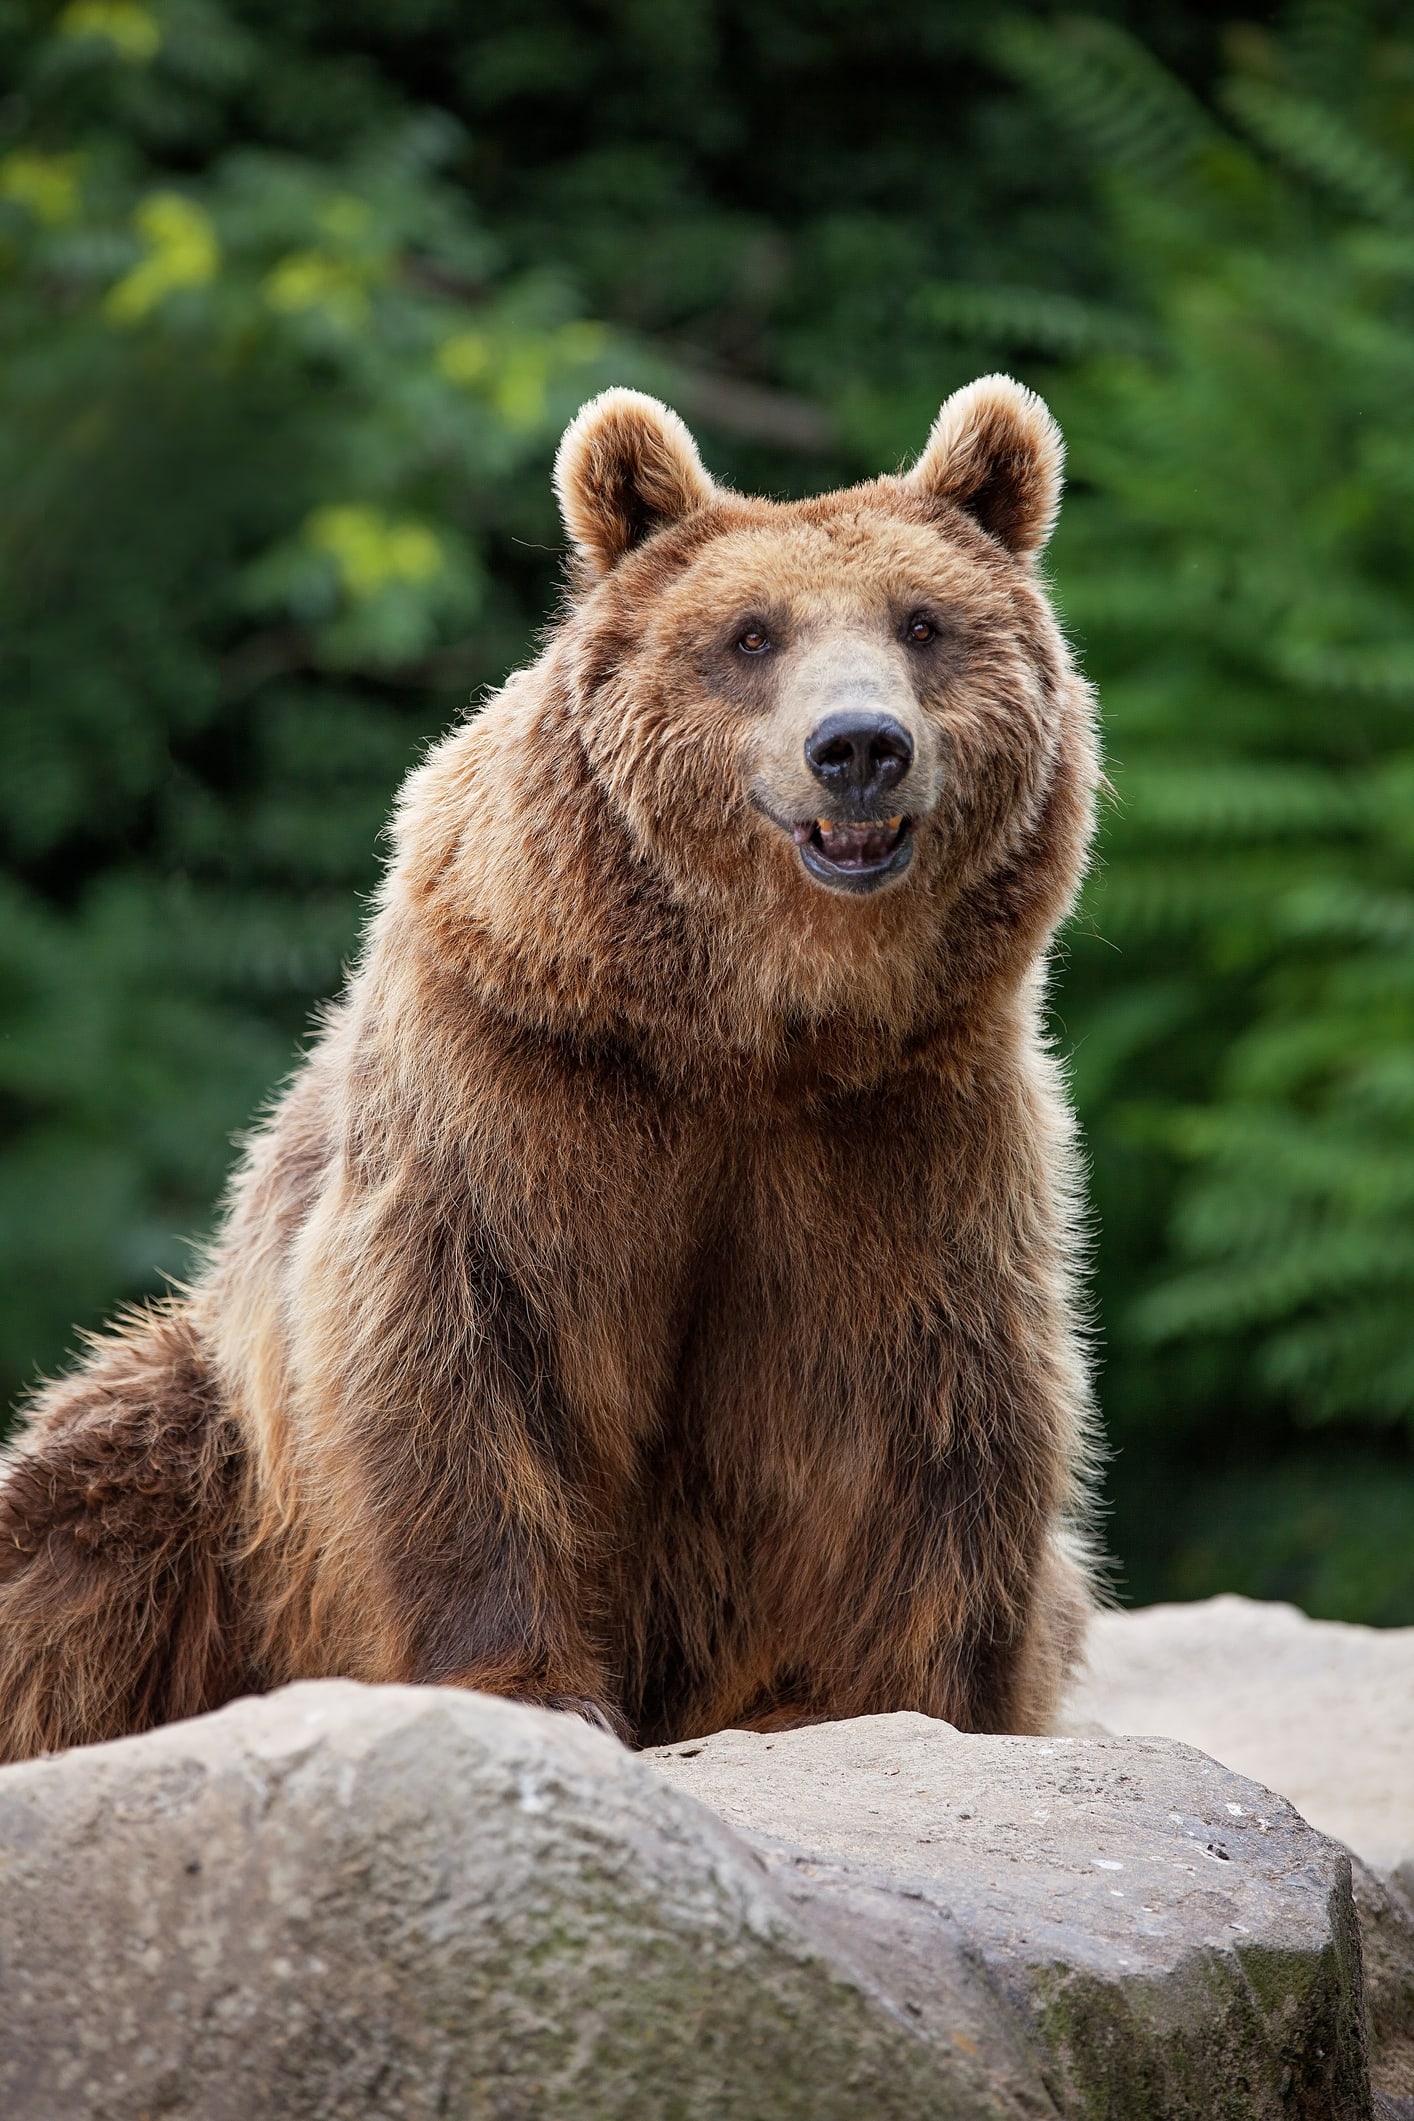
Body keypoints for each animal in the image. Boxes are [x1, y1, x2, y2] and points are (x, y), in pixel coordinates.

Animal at [0, 377, 1102, 1756]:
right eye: (750, 636)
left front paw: (889, 1700)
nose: (859, 746)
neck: (755, 1030)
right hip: (212, 1464)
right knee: (81, 1517)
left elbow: (932, 1402)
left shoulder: (905, 1125)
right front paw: (533, 1685)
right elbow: (461, 1339)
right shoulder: (523, 1065)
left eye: (924, 623)